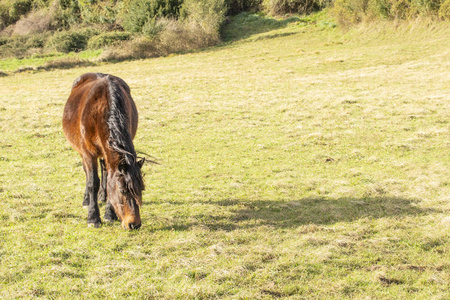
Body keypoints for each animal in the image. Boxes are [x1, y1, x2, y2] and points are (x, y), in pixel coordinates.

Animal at [62, 72, 144, 230]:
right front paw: (93, 218)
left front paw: (109, 215)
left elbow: (108, 179)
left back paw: (102, 197)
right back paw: (87, 200)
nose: (134, 224)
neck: (100, 110)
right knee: (87, 174)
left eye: (141, 190)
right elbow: (92, 182)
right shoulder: (88, 154)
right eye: (122, 191)